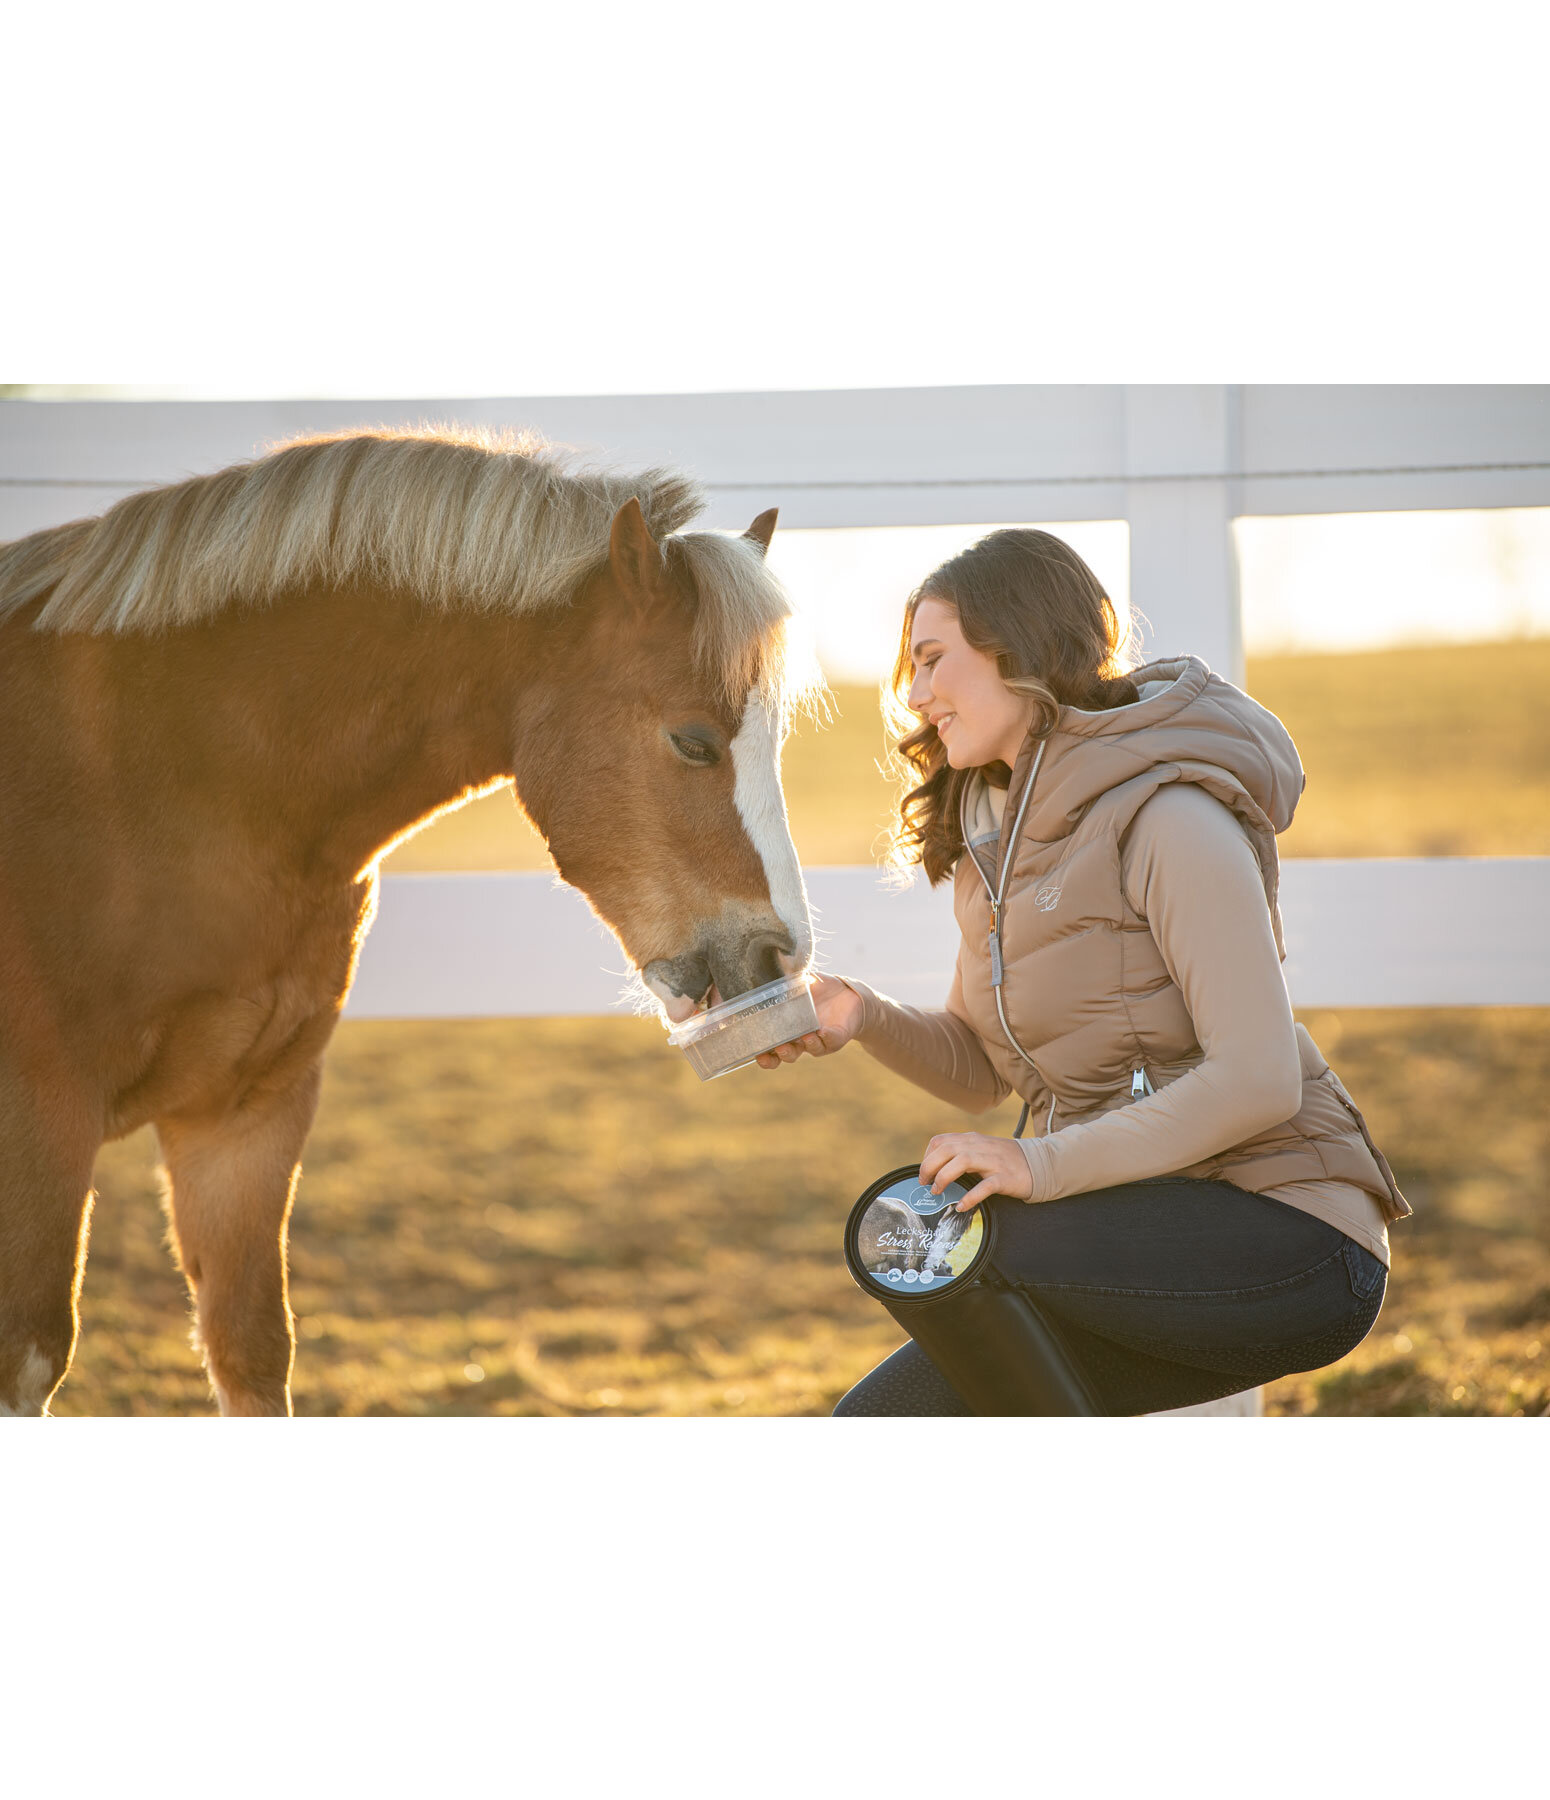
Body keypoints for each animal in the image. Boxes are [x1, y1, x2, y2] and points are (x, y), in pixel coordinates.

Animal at [0, 424, 820, 1418]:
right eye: (695, 741)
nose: (779, 955)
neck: (158, 773)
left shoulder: (245, 1112)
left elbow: (251, 1350)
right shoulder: (43, 1121)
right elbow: (33, 1353)